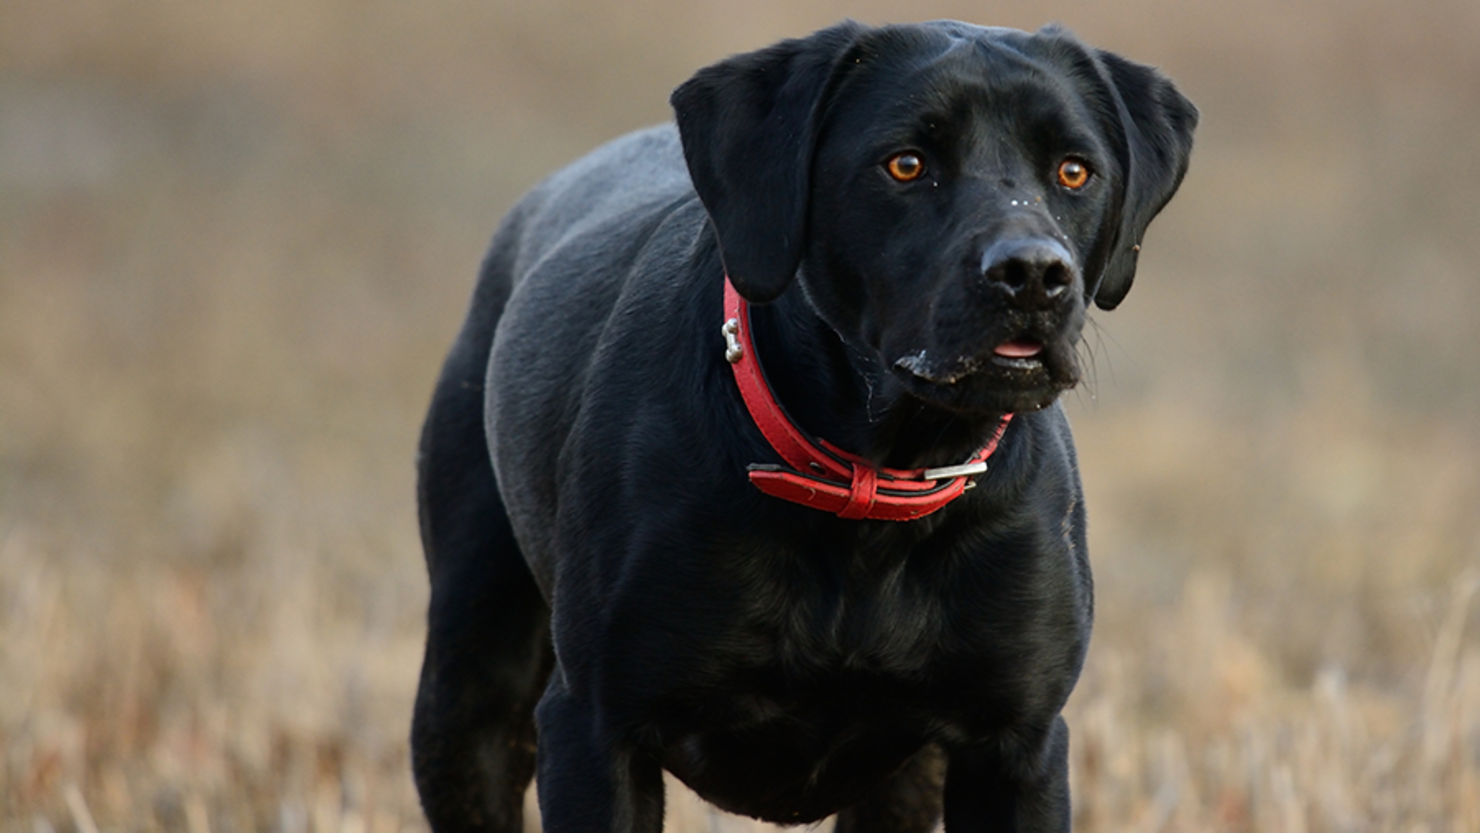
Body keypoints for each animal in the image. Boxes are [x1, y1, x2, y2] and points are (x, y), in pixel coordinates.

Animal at [411, 21, 1195, 833]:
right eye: (906, 164)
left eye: (1074, 171)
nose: (1034, 273)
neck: (875, 488)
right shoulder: (596, 730)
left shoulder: (1017, 746)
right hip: (468, 690)